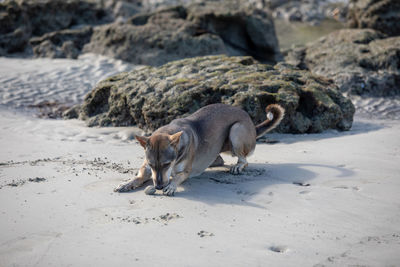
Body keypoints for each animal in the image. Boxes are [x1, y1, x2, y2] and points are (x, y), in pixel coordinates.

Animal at [114, 103, 286, 196]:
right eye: (151, 164)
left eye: (166, 164)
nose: (158, 187)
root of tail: (251, 123)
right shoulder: (147, 169)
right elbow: (139, 176)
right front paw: (126, 183)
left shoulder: (184, 171)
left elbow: (176, 177)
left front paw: (171, 186)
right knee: (219, 160)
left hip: (236, 131)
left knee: (244, 160)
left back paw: (237, 166)